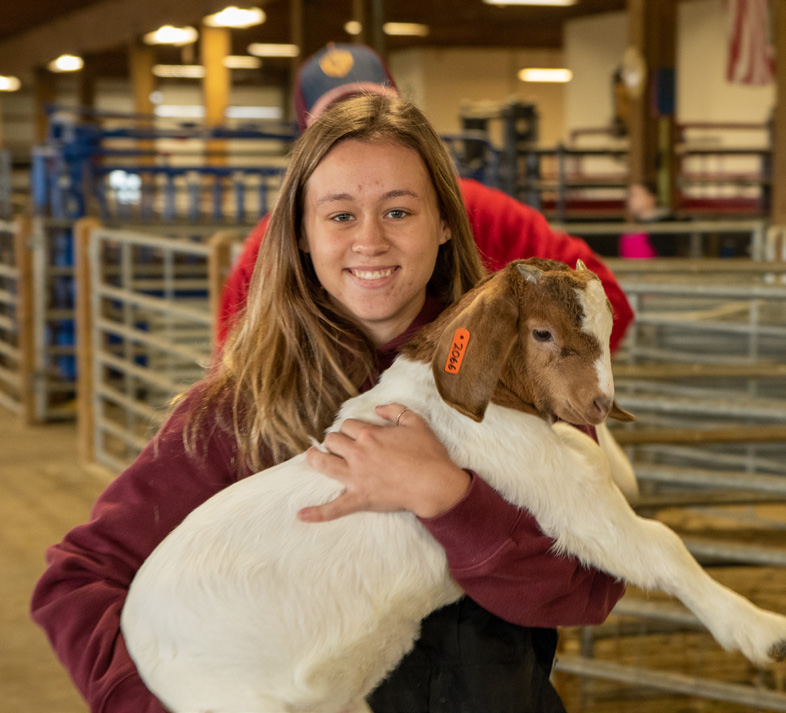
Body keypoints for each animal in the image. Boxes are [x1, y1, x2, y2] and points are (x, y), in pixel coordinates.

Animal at [121, 258, 784, 712]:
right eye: (542, 333)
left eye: (608, 325)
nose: (599, 403)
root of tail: (136, 633)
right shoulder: (563, 499)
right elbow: (655, 545)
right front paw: (761, 632)